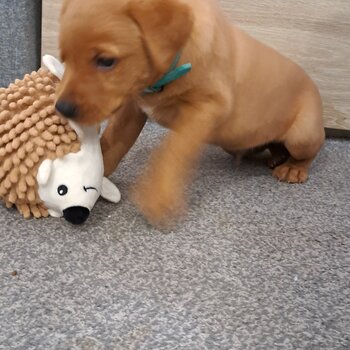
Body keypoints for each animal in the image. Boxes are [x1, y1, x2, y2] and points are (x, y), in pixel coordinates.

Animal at [55, 0, 326, 224]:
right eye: (65, 58)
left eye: (106, 61)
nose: (62, 108)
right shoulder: (132, 107)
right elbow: (113, 142)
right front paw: (95, 172)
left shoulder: (207, 108)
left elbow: (172, 151)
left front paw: (158, 195)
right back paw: (274, 156)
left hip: (302, 137)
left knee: (309, 150)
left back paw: (293, 167)